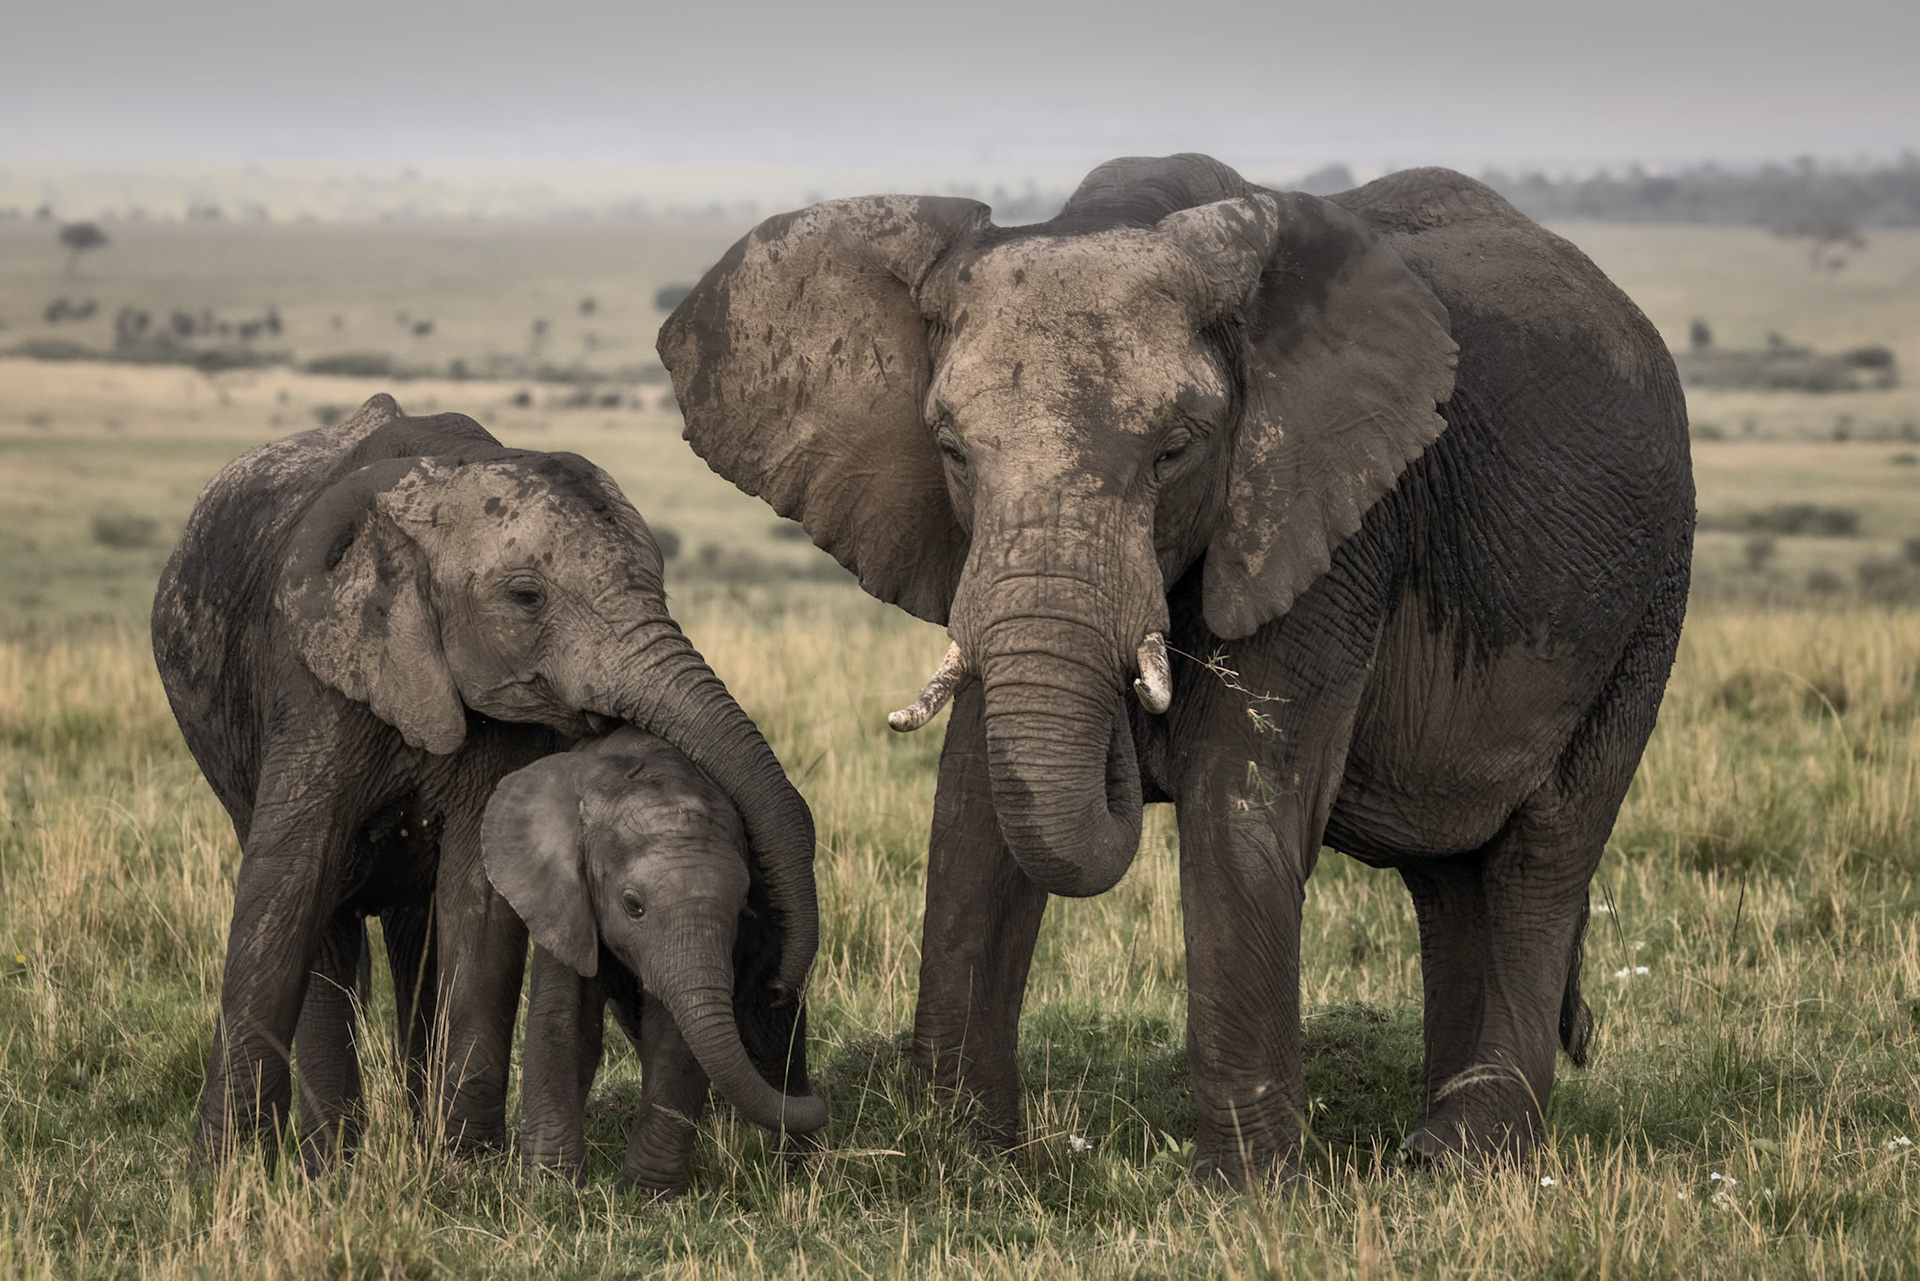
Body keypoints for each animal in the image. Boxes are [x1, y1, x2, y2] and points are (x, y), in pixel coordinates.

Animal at [482, 727, 828, 1194]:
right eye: (633, 906)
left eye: (743, 907)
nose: (821, 1106)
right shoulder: (562, 895)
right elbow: (562, 1021)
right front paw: (551, 1185)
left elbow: (676, 1037)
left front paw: (644, 1195)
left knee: (773, 1035)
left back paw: (799, 1163)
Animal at [658, 154, 1694, 1182]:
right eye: (949, 448)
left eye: (1175, 451)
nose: (1130, 719)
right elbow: (975, 806)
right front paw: (966, 1158)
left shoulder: (1325, 522)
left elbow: (1241, 802)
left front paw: (1245, 1193)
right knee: (1448, 876)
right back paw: (1437, 1145)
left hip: (1647, 603)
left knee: (1541, 858)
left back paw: (1467, 1151)